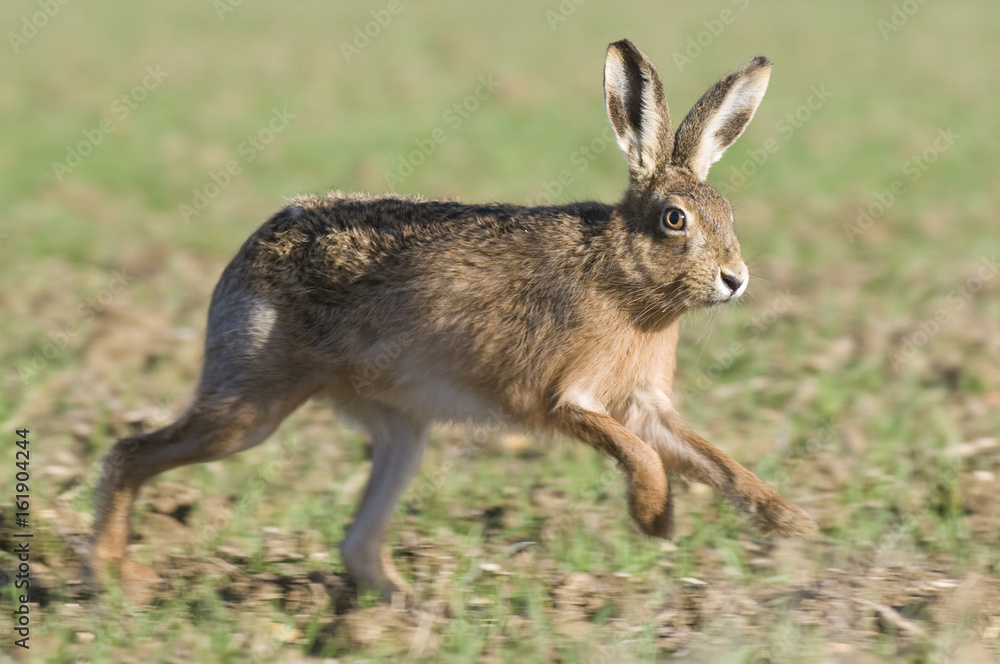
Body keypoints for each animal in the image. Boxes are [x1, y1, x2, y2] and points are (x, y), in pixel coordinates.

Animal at [88, 39, 817, 600]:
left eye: (727, 212)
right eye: (675, 219)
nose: (735, 279)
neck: (622, 274)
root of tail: (248, 252)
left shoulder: (644, 406)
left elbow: (714, 460)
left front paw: (791, 522)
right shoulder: (561, 399)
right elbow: (639, 453)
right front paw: (656, 519)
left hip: (402, 430)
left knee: (356, 543)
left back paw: (407, 610)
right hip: (250, 402)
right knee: (131, 453)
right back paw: (114, 577)